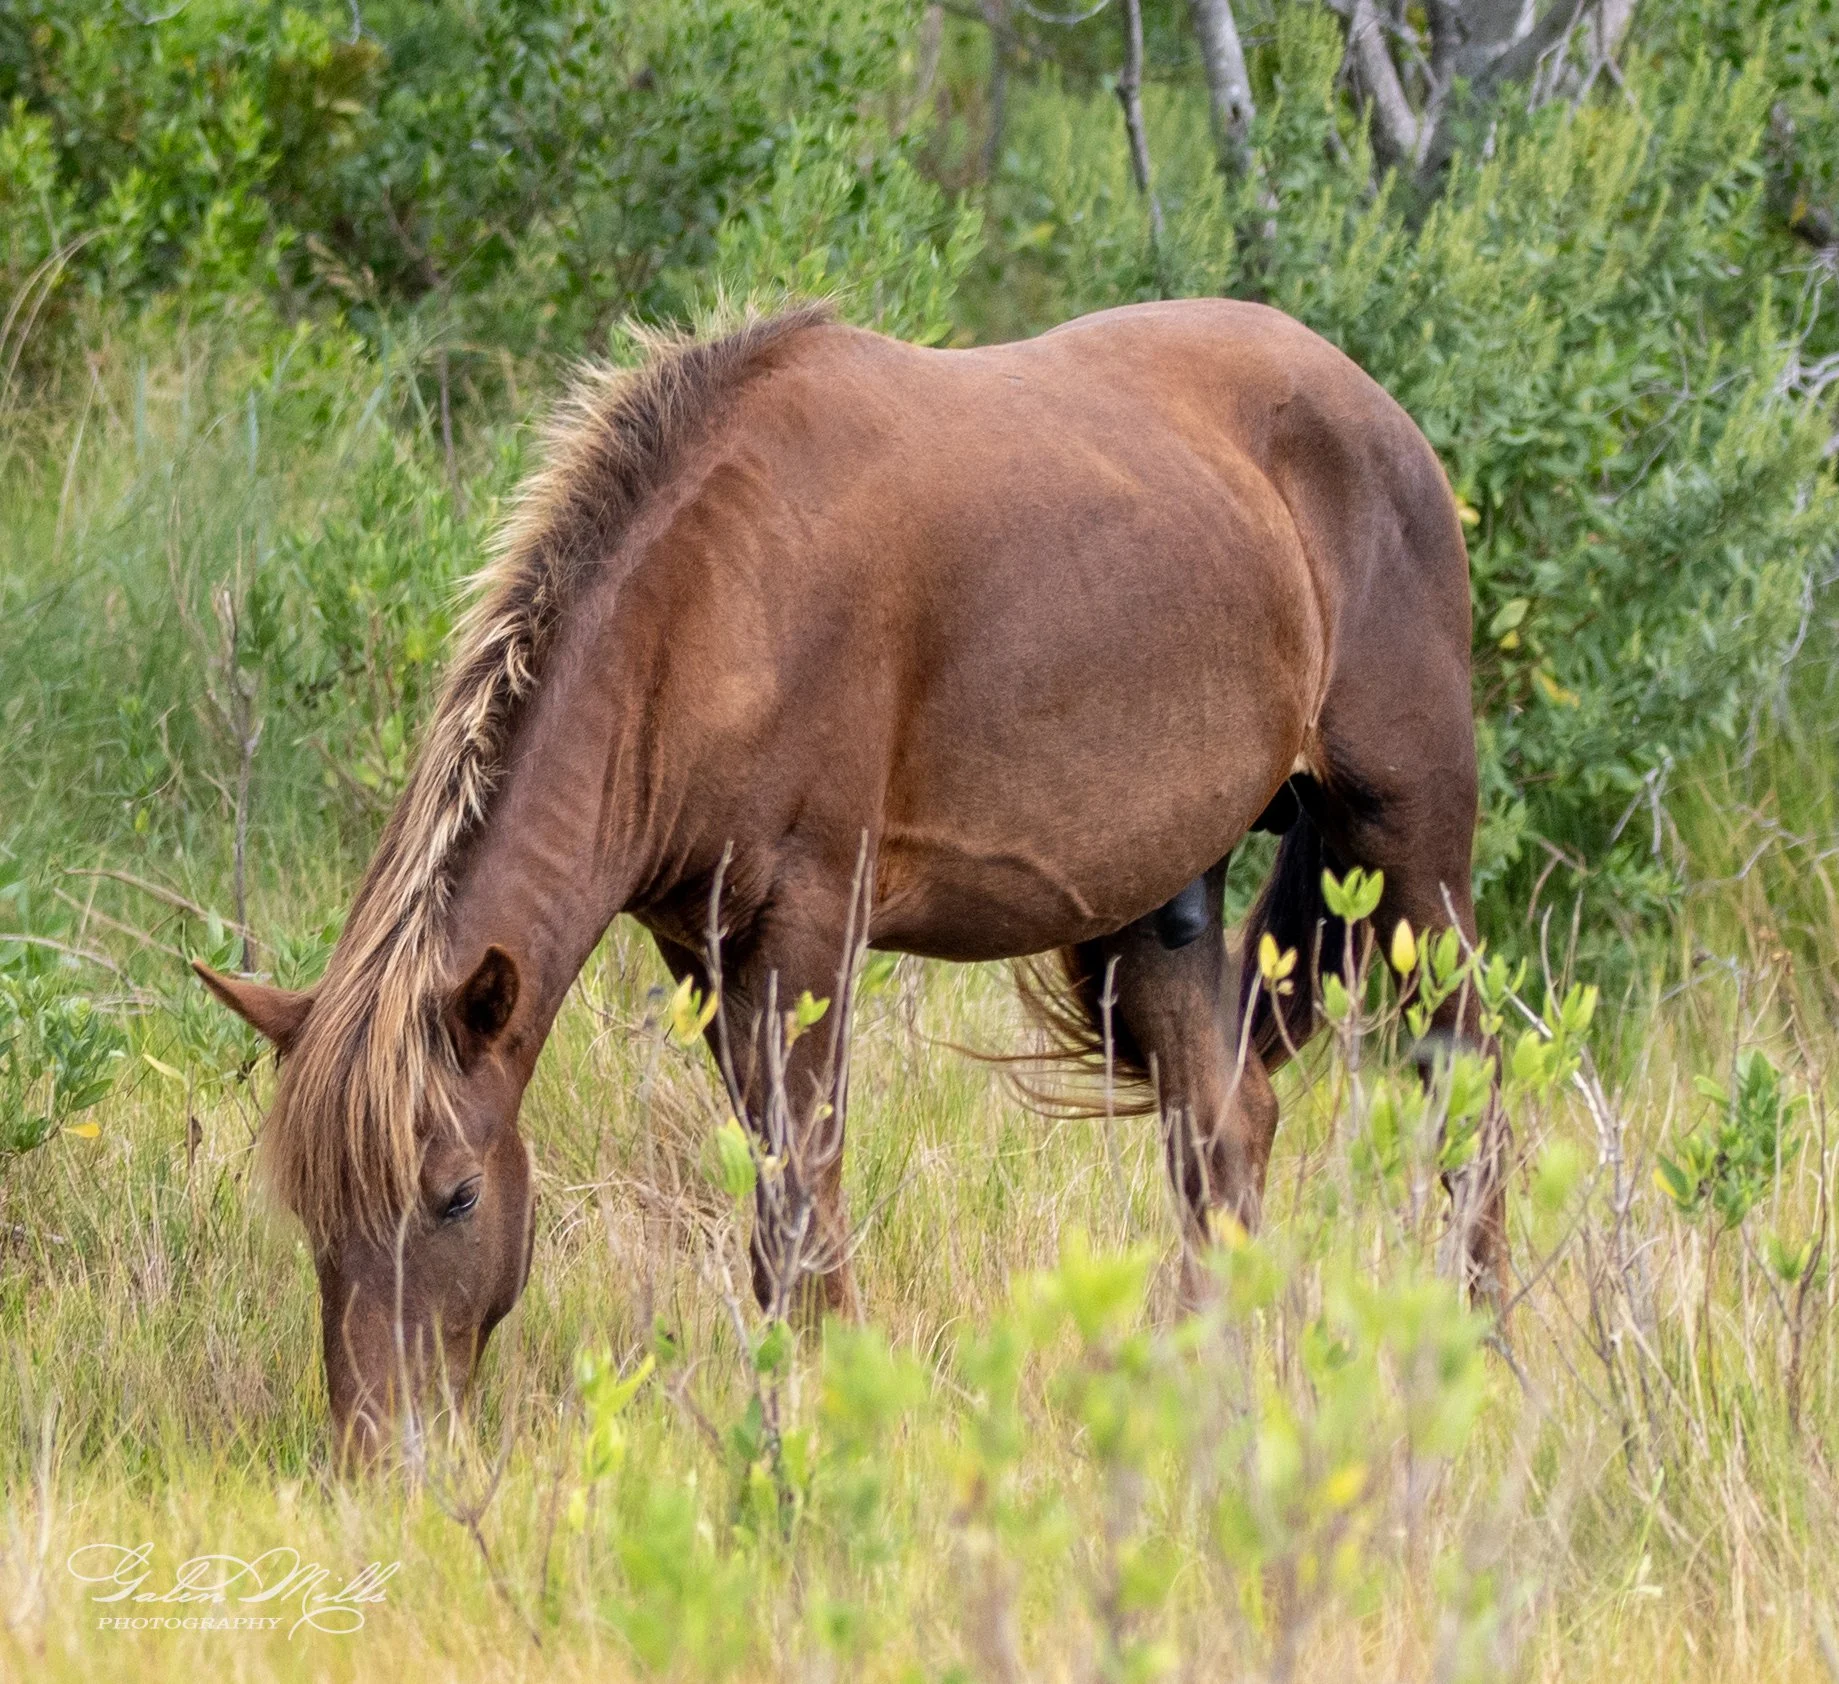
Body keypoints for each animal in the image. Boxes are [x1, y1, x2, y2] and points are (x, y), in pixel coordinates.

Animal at [196, 298, 1505, 1461]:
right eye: (314, 1212)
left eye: (459, 1196)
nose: (382, 1455)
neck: (715, 603)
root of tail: (1377, 412)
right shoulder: (703, 947)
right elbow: (775, 1197)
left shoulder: (809, 929)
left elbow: (799, 1207)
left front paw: (823, 1425)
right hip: (1156, 899)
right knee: (1226, 1130)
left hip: (1410, 848)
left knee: (1469, 1087)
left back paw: (1490, 1364)